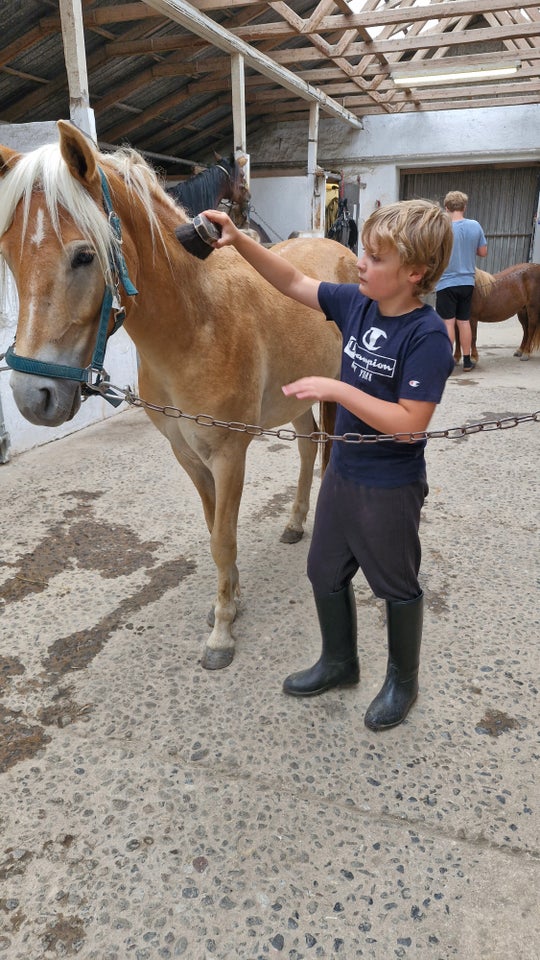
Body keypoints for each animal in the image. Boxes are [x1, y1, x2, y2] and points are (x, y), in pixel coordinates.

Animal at [2, 120, 360, 672]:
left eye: (84, 256)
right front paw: (230, 601)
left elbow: (223, 538)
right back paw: (296, 523)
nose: (31, 397)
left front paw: (222, 633)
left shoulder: (229, 454)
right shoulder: (188, 455)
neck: (199, 321)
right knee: (307, 446)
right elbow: (215, 529)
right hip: (297, 399)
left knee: (327, 448)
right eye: (8, 257)